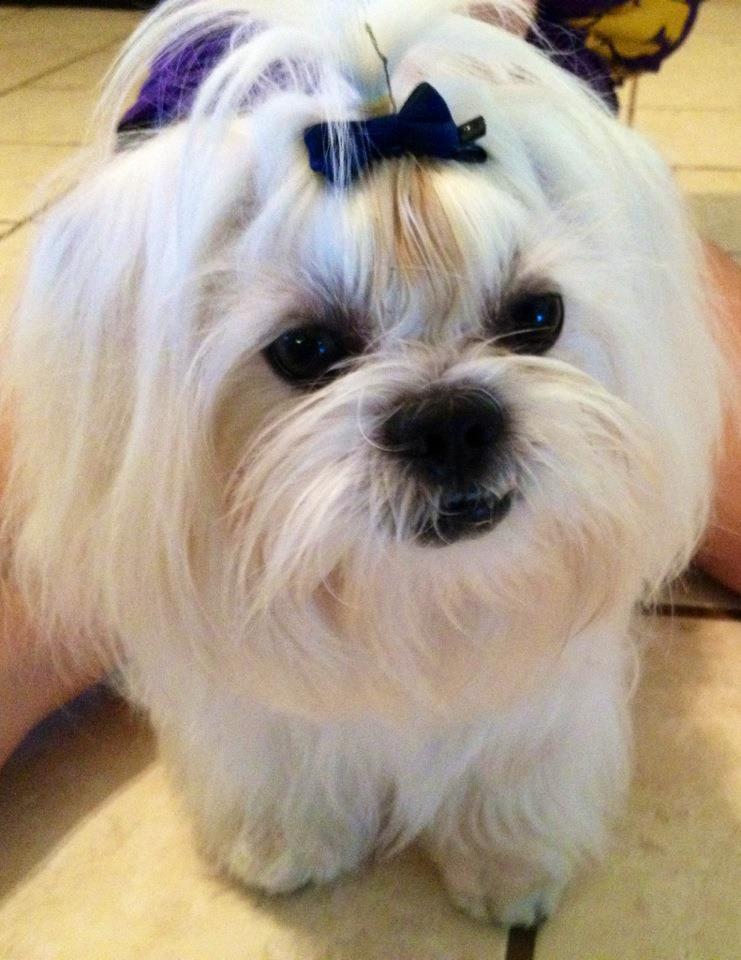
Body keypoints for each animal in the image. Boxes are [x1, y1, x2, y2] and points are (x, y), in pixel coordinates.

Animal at [3, 0, 723, 928]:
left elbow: (512, 754)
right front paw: (287, 840)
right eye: (304, 350)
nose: (451, 422)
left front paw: (508, 858)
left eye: (537, 316)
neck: (406, 595)